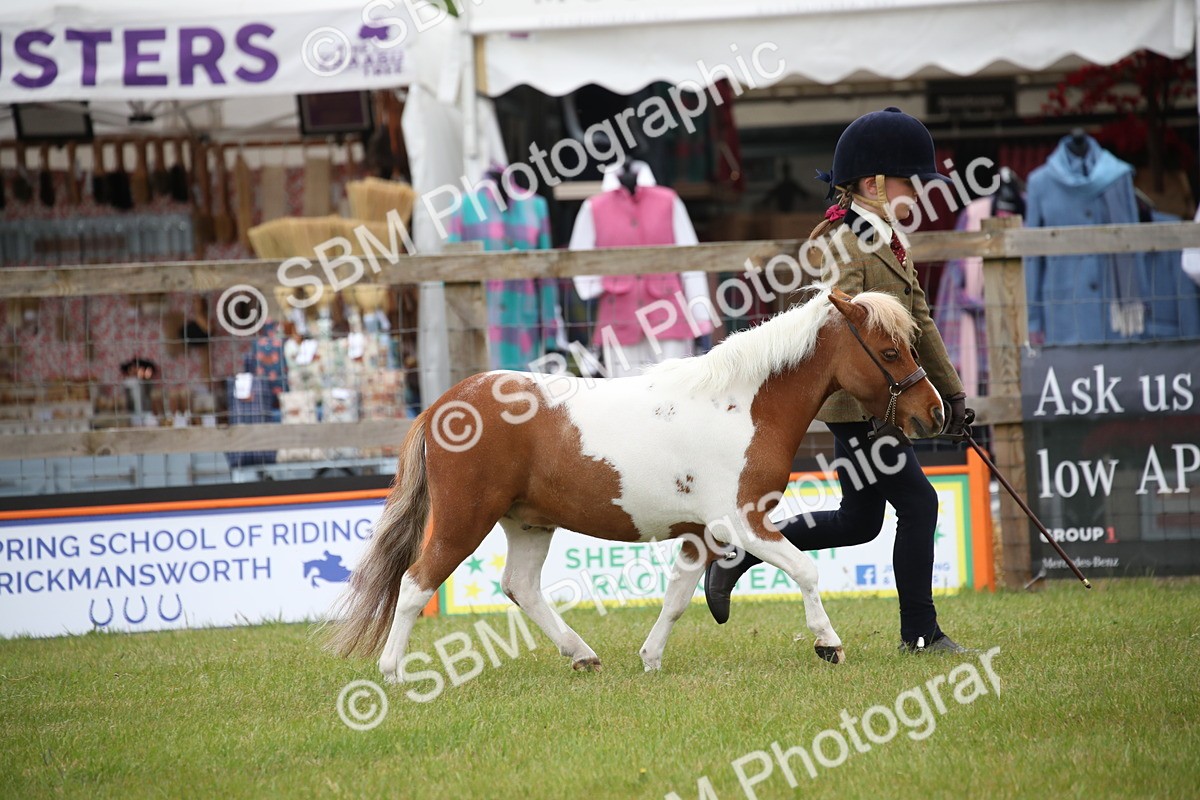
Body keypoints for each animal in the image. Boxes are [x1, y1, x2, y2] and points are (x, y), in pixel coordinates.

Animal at [329, 286, 945, 679]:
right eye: (890, 350)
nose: (934, 414)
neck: (743, 405)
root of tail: (443, 405)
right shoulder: (742, 521)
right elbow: (806, 570)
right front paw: (829, 645)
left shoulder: (703, 533)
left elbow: (676, 596)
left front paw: (650, 659)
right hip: (465, 518)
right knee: (415, 583)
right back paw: (392, 672)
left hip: (528, 523)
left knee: (520, 587)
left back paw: (582, 655)